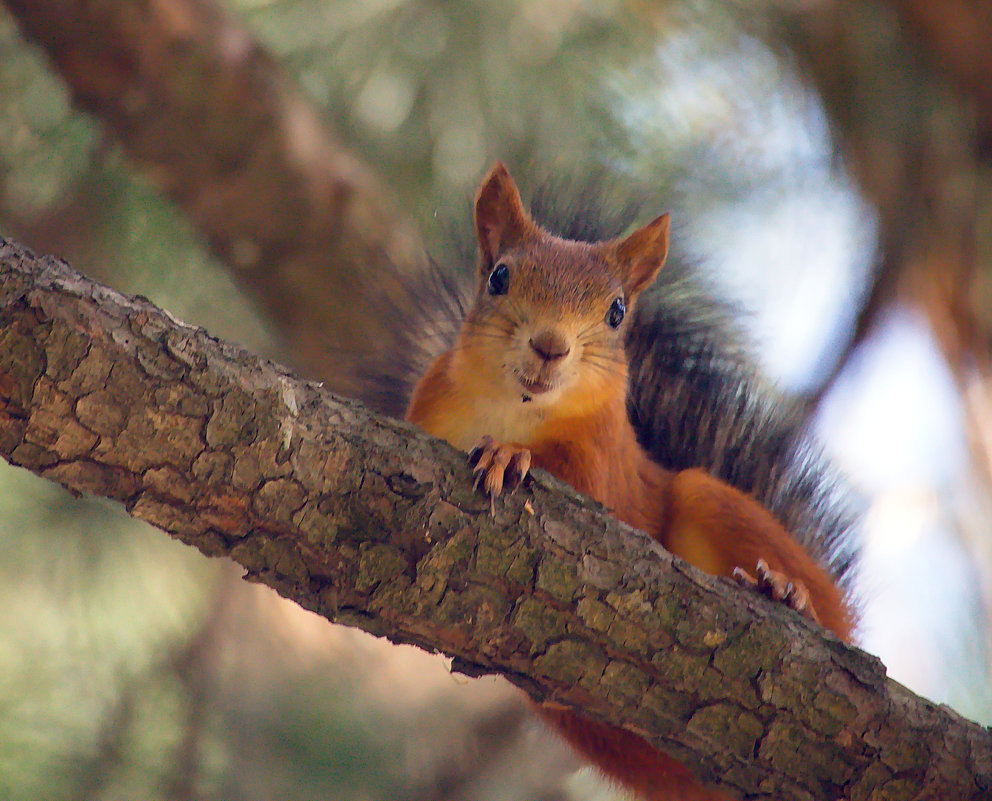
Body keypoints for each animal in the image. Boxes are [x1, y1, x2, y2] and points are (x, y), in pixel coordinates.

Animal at [404, 162, 852, 800]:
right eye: (498, 276)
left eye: (617, 311)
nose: (550, 346)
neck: (512, 407)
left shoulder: (605, 465)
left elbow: (583, 488)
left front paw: (509, 456)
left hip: (711, 500)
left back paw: (788, 592)